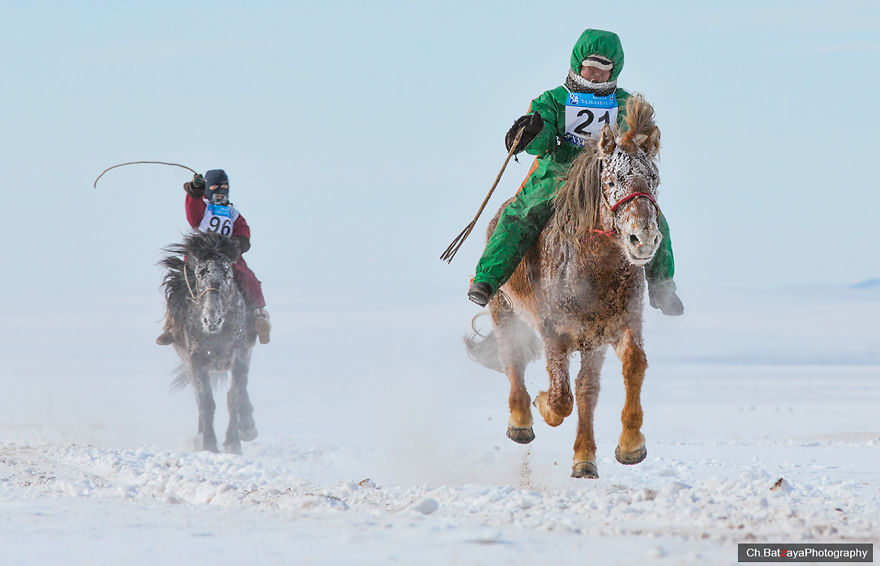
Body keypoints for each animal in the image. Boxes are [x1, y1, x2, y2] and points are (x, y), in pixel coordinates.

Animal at [159, 231, 258, 454]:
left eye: (228, 275)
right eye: (199, 275)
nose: (211, 320)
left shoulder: (239, 356)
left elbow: (234, 397)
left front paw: (234, 443)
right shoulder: (196, 361)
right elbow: (206, 402)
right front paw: (209, 445)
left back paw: (246, 428)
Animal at [466, 94, 663, 478]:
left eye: (654, 179)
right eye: (612, 180)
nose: (644, 238)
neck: (595, 269)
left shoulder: (617, 327)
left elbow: (632, 366)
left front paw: (631, 445)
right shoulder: (554, 333)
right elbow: (560, 398)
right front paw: (542, 403)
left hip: (591, 342)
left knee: (587, 390)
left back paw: (584, 459)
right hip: (503, 309)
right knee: (512, 360)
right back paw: (521, 422)